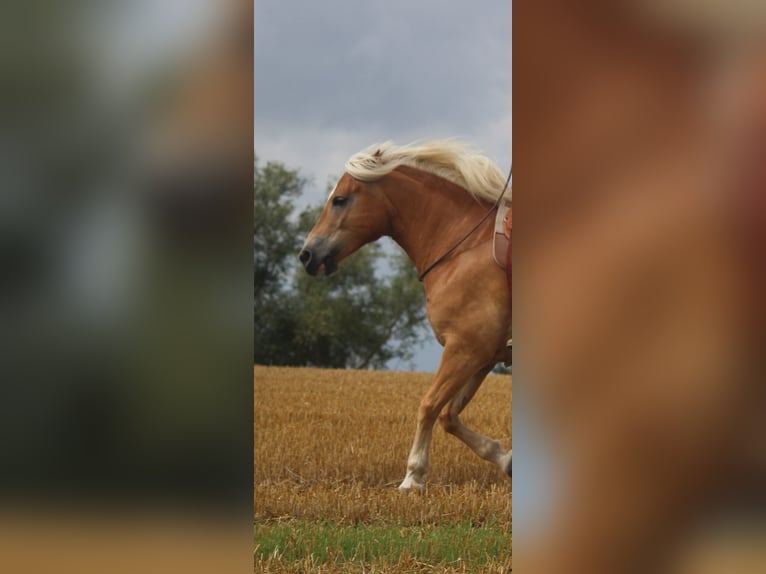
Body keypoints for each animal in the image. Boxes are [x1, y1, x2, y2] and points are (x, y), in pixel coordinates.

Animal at [298, 142, 510, 492]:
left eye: (339, 199)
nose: (306, 255)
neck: (464, 249)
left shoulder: (464, 349)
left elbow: (429, 405)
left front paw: (413, 477)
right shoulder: (484, 355)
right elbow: (449, 415)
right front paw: (505, 459)